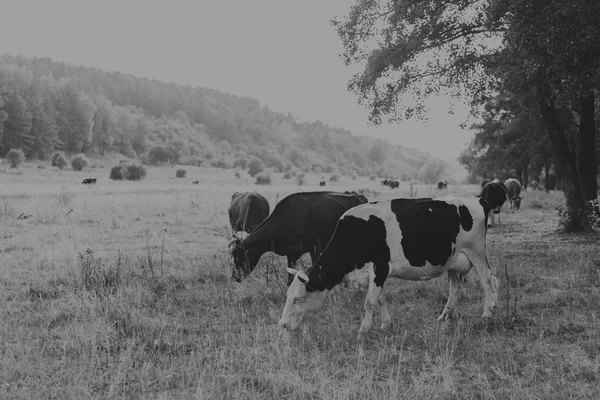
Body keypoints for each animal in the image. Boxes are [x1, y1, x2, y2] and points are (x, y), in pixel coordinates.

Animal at [278, 195, 500, 332]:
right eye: (288, 296)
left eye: (297, 299)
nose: (283, 325)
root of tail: (476, 198)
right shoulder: (375, 274)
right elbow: (381, 299)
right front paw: (386, 325)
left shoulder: (380, 267)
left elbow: (369, 302)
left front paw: (364, 329)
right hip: (453, 261)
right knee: (455, 289)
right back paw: (445, 316)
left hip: (477, 252)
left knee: (488, 282)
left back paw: (487, 314)